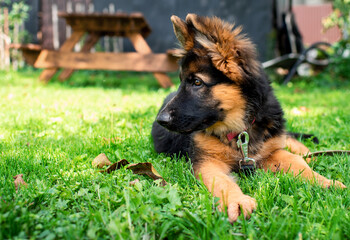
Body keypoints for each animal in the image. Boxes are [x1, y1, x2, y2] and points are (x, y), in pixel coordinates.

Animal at [151, 14, 344, 222]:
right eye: (181, 81)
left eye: (196, 82)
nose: (160, 120)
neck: (239, 130)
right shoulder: (207, 162)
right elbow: (221, 181)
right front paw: (236, 201)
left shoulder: (272, 151)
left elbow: (296, 161)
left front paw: (325, 182)